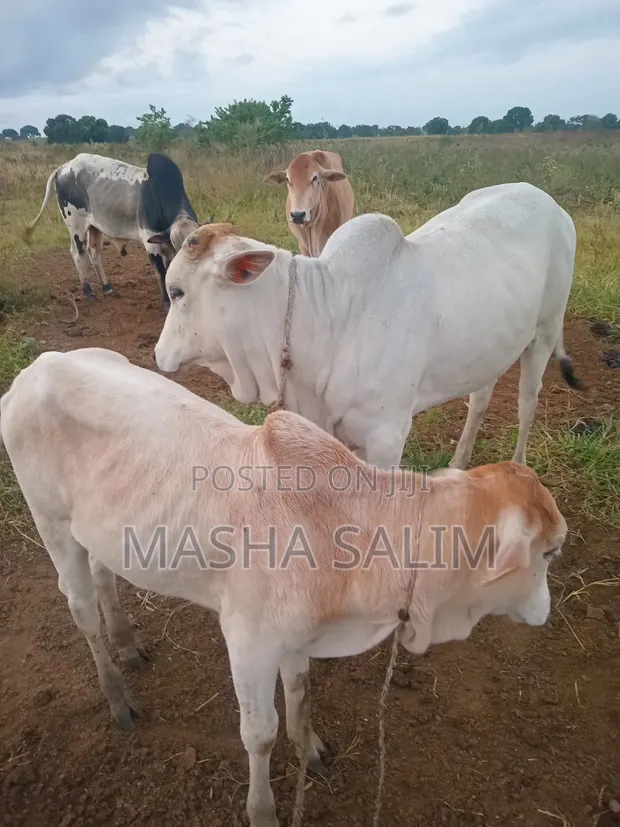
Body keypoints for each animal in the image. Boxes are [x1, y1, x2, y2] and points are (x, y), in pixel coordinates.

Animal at [1, 346, 567, 827]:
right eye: (549, 552)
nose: (546, 612)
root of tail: (38, 369)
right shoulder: (248, 640)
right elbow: (260, 734)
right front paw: (263, 809)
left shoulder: (296, 637)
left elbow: (299, 691)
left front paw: (310, 746)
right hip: (52, 524)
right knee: (81, 611)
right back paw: (118, 695)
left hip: (99, 528)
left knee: (103, 575)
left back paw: (128, 644)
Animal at [25, 152, 206, 308]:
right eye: (179, 245)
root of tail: (62, 168)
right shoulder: (150, 240)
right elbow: (161, 272)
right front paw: (167, 303)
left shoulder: (165, 243)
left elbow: (169, 269)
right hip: (75, 225)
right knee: (78, 254)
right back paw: (89, 292)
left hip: (94, 227)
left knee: (94, 254)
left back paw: (107, 287)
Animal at [154, 182, 584, 472]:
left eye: (176, 291)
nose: (157, 354)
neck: (327, 318)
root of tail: (550, 203)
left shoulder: (387, 438)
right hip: (489, 346)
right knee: (479, 399)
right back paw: (459, 463)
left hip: (545, 331)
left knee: (527, 402)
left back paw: (519, 466)